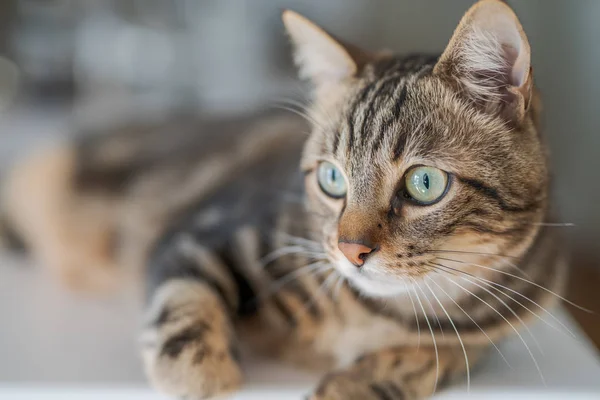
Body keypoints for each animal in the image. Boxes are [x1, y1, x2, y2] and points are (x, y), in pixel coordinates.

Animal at [2, 0, 568, 400]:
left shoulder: (492, 333)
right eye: (333, 179)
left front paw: (358, 383)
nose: (350, 251)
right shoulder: (203, 230)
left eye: (424, 184)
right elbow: (183, 298)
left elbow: (440, 359)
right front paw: (203, 375)